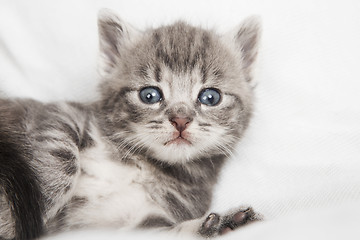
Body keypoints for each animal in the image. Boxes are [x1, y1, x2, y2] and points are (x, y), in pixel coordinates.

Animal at [0, 8, 260, 239]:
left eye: (210, 97)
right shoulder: (58, 113)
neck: (142, 165)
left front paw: (223, 224)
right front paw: (40, 203)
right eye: (149, 95)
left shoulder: (139, 221)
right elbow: (60, 158)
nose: (180, 120)